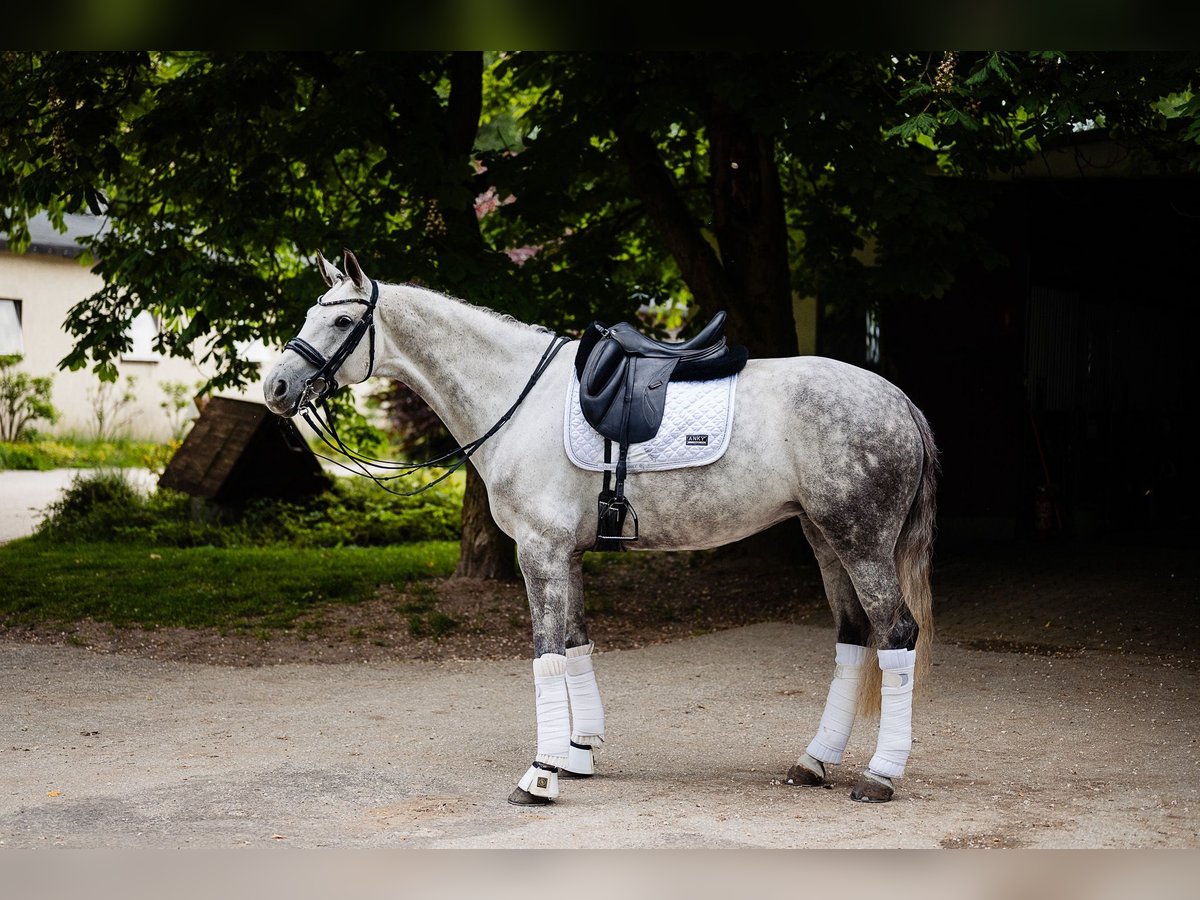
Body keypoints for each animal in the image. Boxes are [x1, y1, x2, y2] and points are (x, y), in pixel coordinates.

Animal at [264, 250, 938, 806]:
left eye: (341, 323)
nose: (276, 386)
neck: (517, 399)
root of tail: (898, 399)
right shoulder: (567, 555)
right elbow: (576, 645)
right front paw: (578, 752)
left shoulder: (539, 553)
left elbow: (545, 657)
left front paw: (539, 775)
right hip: (824, 540)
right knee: (853, 637)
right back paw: (814, 762)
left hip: (860, 543)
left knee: (897, 633)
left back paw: (880, 775)